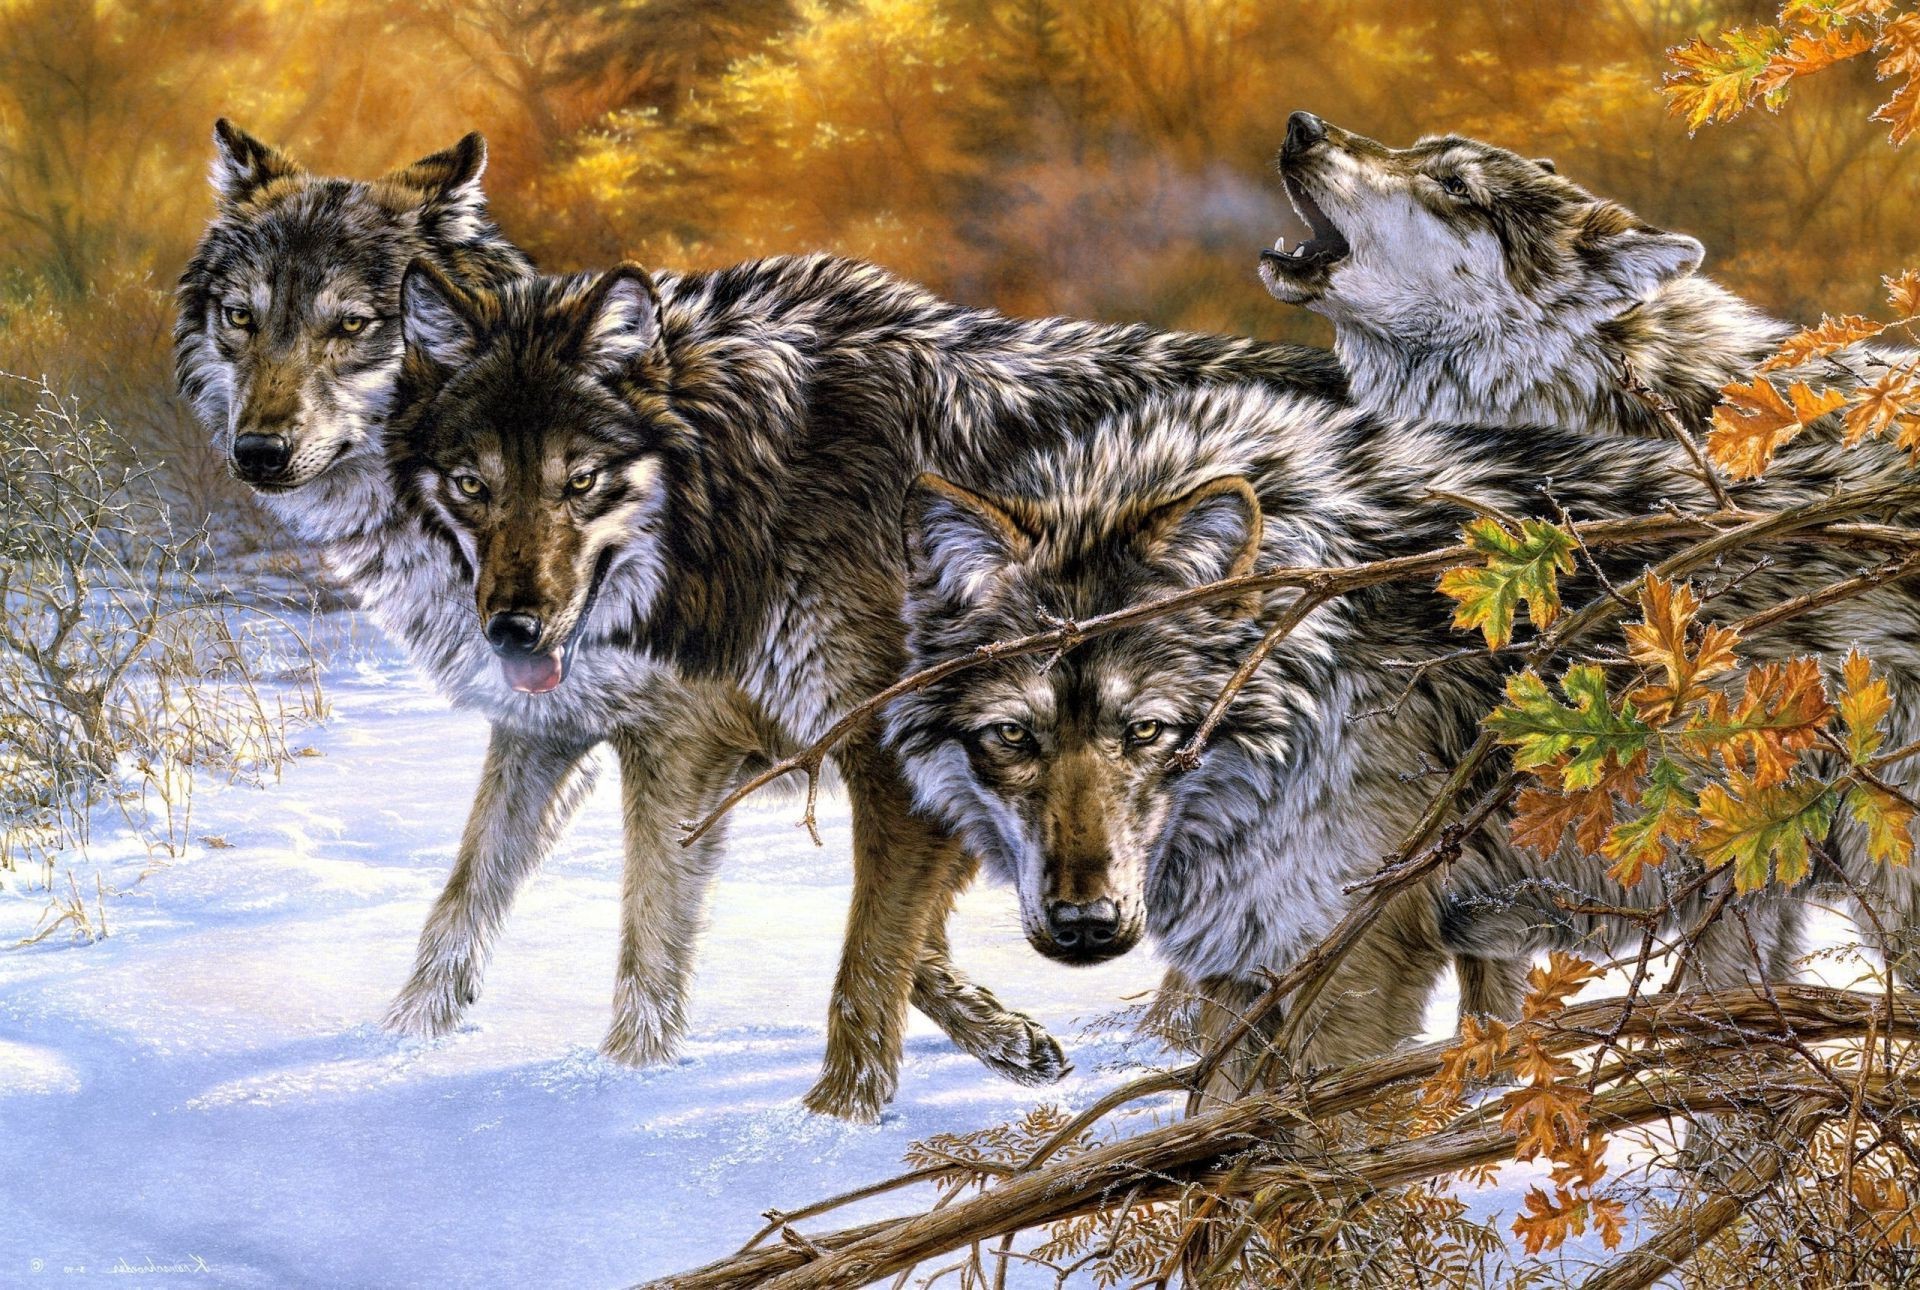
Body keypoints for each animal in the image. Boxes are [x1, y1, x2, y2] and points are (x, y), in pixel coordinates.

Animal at [172, 124, 1064, 1099]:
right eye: (242, 318)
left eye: (352, 326)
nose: (257, 451)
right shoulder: (547, 725)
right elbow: (464, 901)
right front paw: (399, 1047)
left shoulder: (695, 746)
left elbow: (663, 933)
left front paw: (629, 1083)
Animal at [384, 254, 1349, 1118]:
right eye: (472, 485)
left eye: (579, 482)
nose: (512, 630)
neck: (758, 486)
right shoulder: (608, 736)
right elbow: (469, 896)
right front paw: (406, 1041)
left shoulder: (875, 755)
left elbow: (861, 957)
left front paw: (830, 1122)